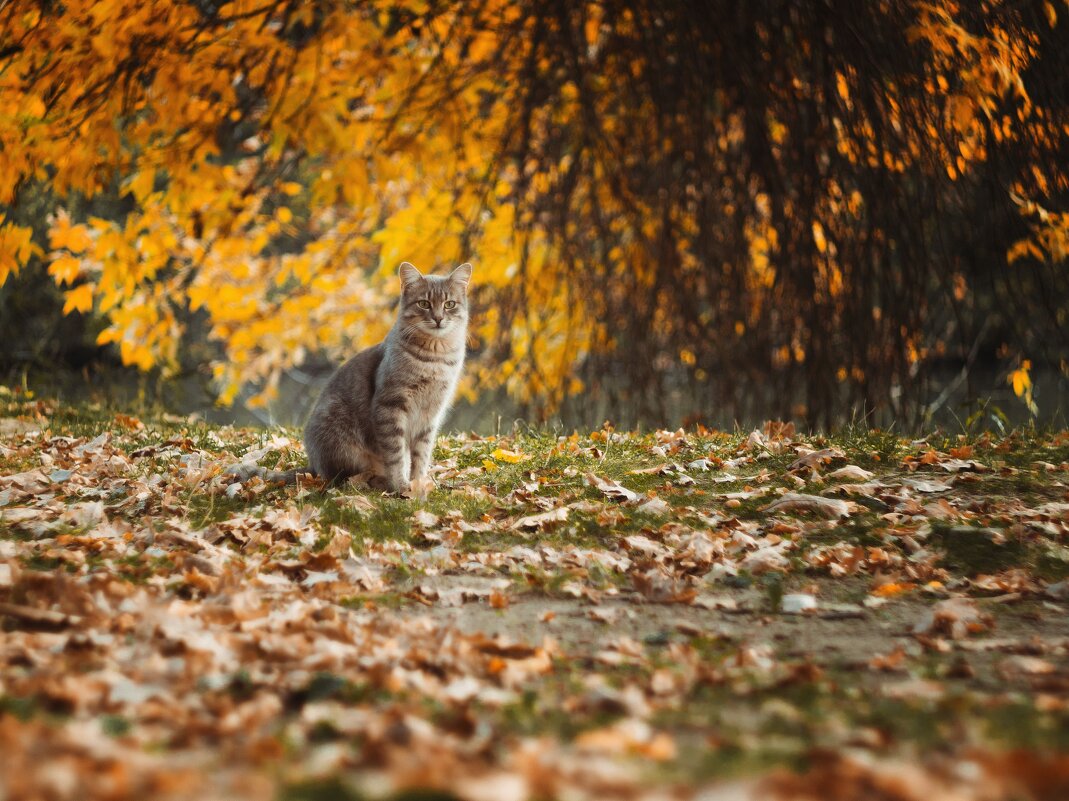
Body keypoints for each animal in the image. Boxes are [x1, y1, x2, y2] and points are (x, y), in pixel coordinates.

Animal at [226, 260, 472, 494]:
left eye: (449, 304)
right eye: (424, 304)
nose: (438, 318)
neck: (435, 357)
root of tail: (313, 467)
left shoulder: (431, 414)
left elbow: (421, 454)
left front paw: (419, 483)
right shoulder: (390, 406)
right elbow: (396, 454)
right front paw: (401, 486)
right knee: (347, 478)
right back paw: (378, 482)